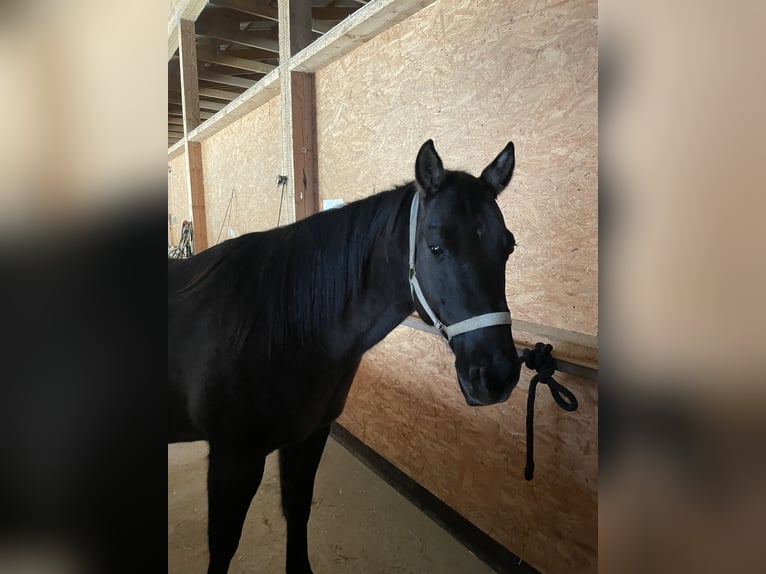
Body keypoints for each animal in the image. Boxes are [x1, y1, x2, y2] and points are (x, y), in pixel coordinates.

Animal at [170, 141, 520, 574]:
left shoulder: (308, 437)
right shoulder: (232, 458)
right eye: (436, 247)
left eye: (508, 246)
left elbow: (298, 509)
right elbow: (223, 546)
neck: (276, 325)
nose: (497, 375)